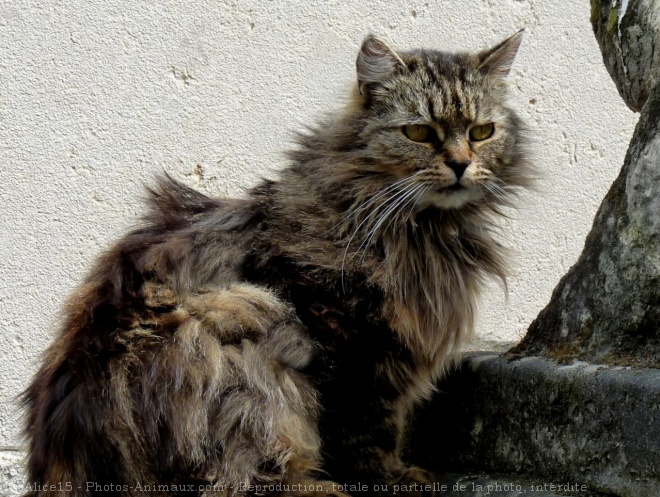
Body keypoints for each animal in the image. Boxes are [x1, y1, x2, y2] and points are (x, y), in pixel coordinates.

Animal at [21, 32, 532, 496]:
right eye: (420, 133)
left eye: (481, 132)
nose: (461, 164)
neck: (419, 232)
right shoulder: (346, 342)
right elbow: (363, 432)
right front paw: (389, 478)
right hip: (240, 322)